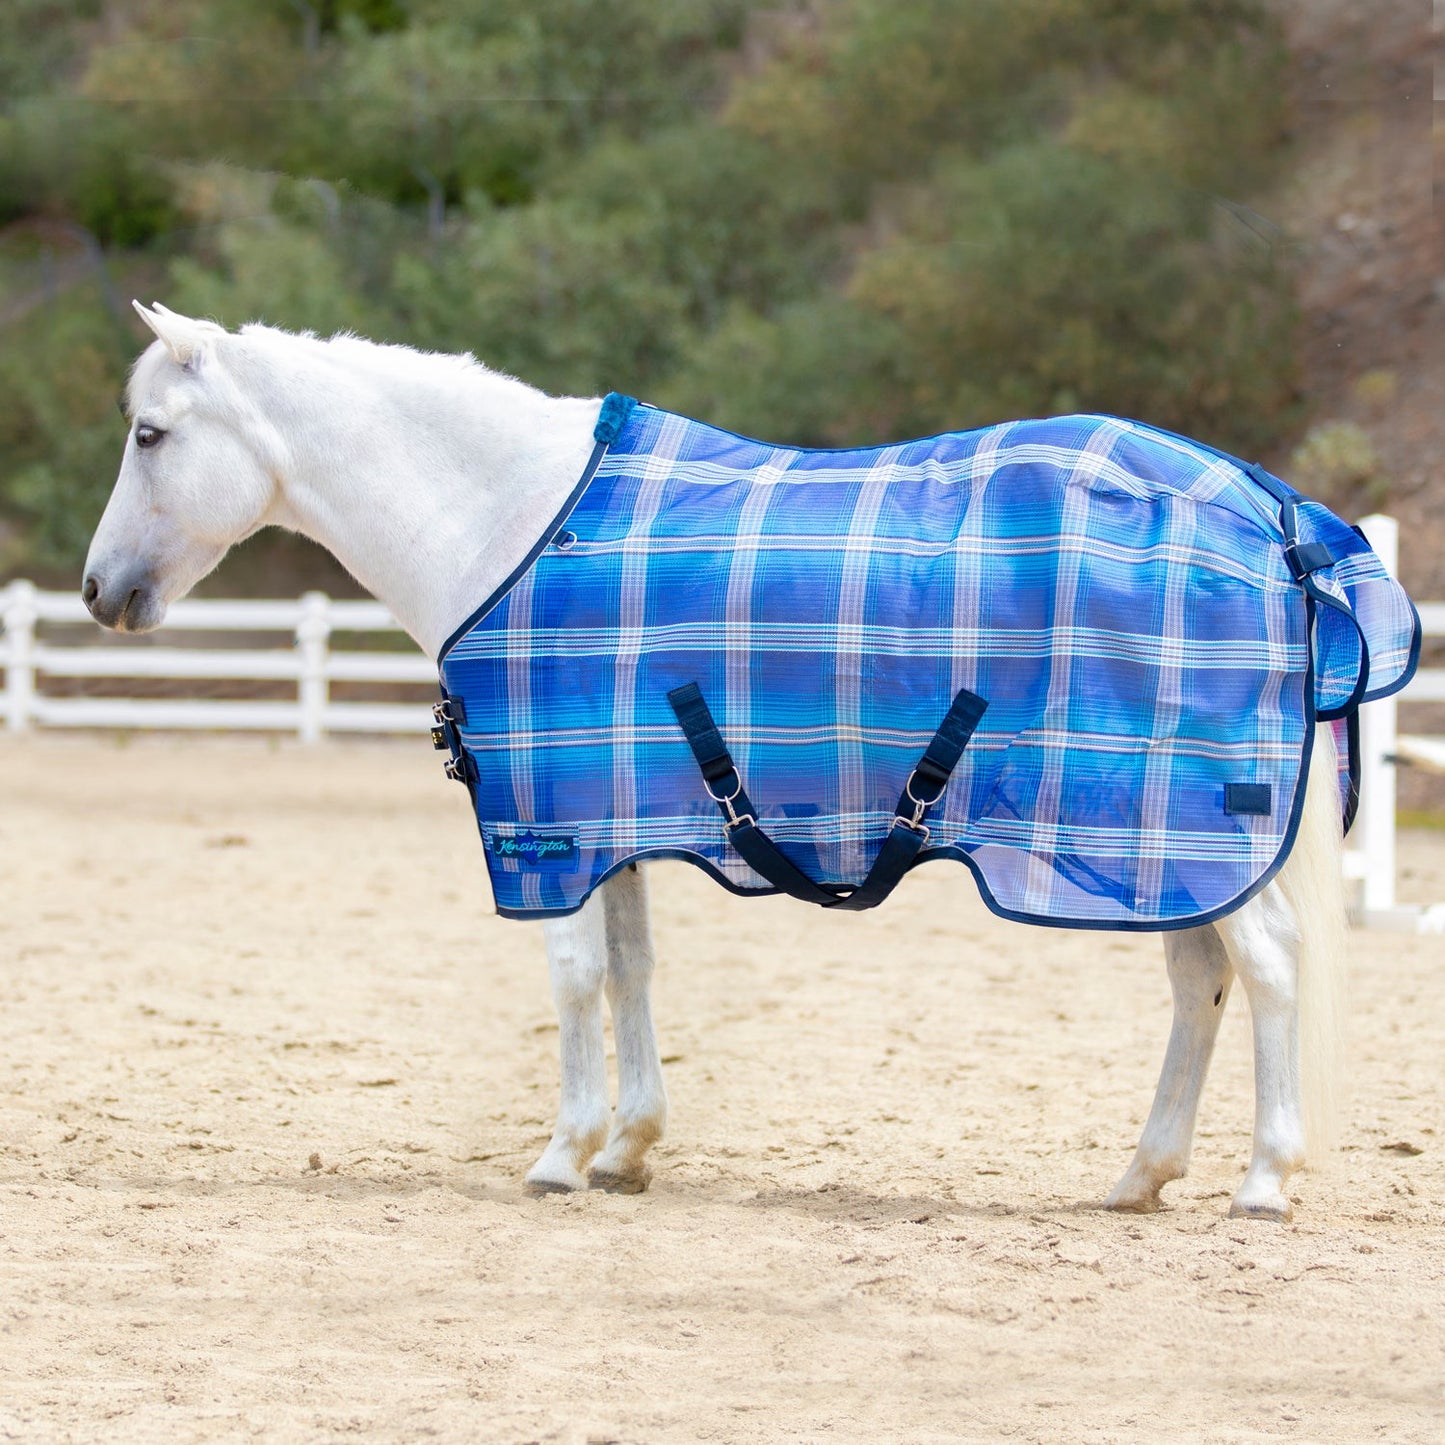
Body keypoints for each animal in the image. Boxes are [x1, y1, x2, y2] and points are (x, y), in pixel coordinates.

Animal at [83, 301, 1368, 1222]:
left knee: (1267, 968)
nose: (100, 591)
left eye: (150, 434)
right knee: (1197, 983)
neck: (512, 522)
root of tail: (1273, 516)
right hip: (1156, 847)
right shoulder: (615, 819)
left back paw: (1263, 1177)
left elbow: (574, 977)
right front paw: (628, 1146)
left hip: (1183, 833)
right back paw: (1140, 1174)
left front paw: (561, 1151)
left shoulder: (547, 824)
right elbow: (634, 970)